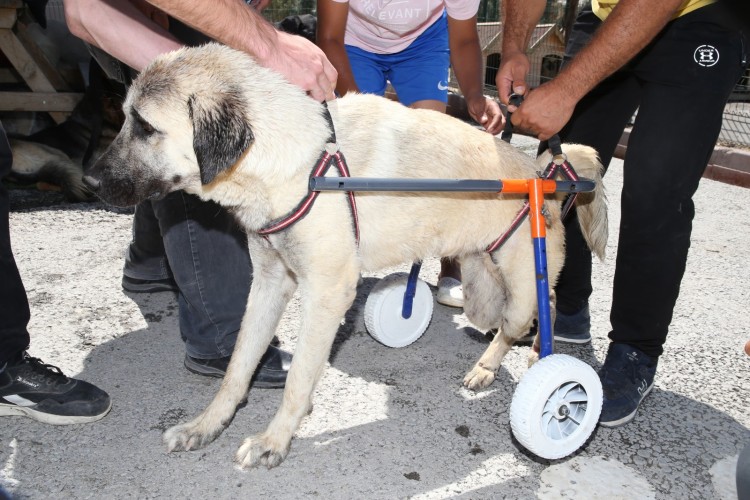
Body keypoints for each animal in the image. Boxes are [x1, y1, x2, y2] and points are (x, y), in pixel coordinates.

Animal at [85, 43, 608, 468]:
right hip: (483, 277)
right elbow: (237, 368)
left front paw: (274, 440)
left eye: (146, 126)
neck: (299, 160)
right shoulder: (269, 284)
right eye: (127, 117)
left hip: (518, 282)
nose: (88, 181)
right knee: (527, 308)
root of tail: (544, 174)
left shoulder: (327, 293)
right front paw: (207, 425)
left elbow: (299, 379)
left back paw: (520, 367)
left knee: (530, 313)